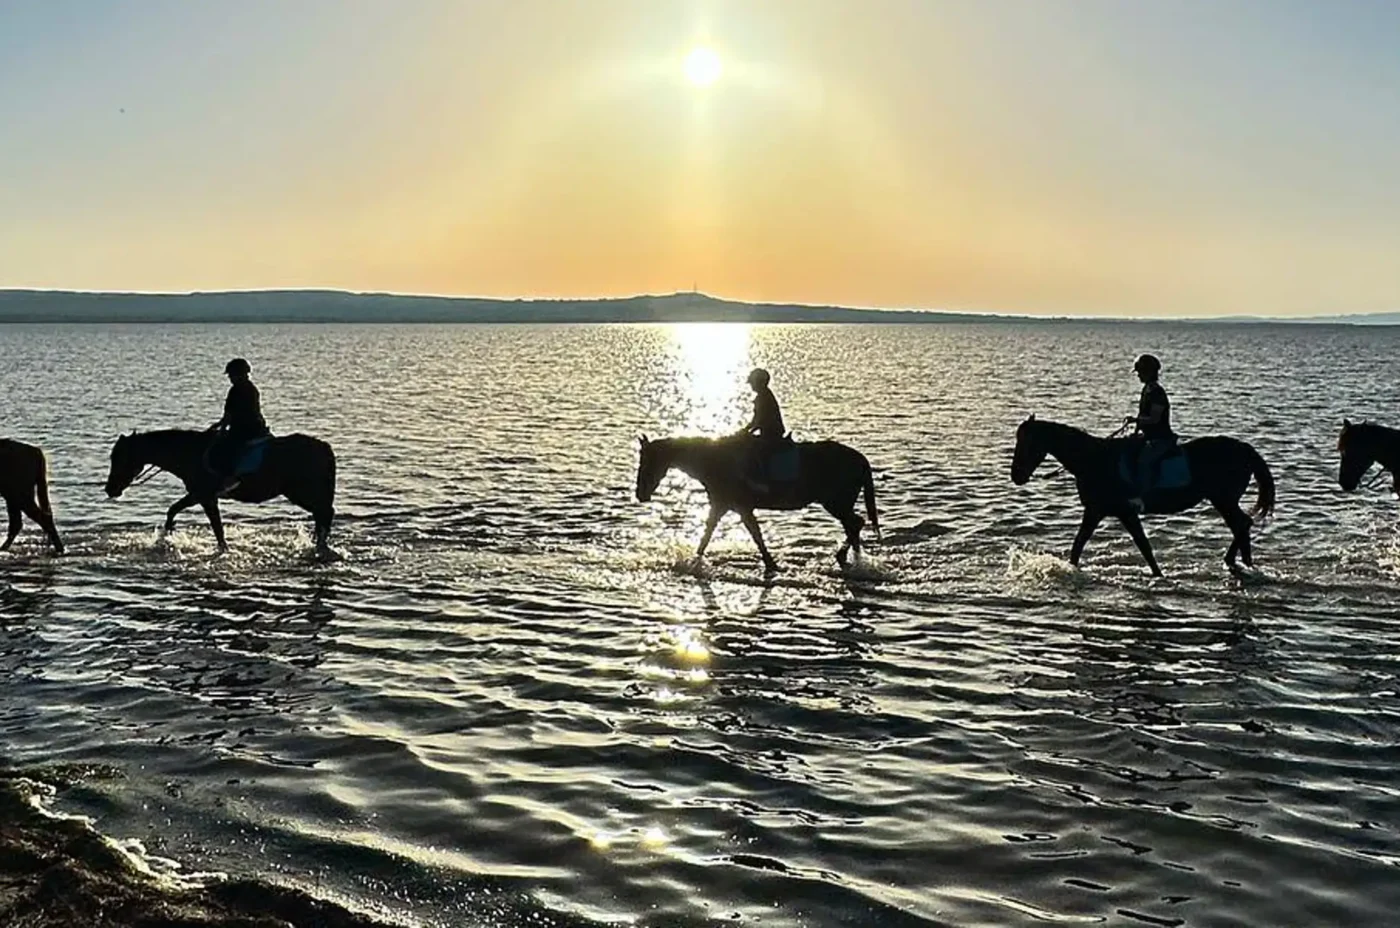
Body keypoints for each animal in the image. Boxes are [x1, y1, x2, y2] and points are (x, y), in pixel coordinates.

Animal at [104, 429, 337, 558]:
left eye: (119, 457)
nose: (110, 489)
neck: (188, 452)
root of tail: (324, 447)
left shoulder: (203, 496)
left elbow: (215, 528)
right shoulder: (202, 496)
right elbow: (174, 511)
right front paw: (167, 535)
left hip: (300, 492)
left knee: (324, 512)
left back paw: (320, 545)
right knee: (321, 514)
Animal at [635, 433, 879, 573]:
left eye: (646, 461)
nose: (640, 494)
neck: (715, 459)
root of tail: (860, 458)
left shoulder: (739, 507)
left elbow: (754, 535)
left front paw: (771, 564)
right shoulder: (723, 506)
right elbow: (709, 534)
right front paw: (694, 560)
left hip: (836, 503)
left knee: (855, 524)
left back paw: (846, 557)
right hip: (839, 504)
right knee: (853, 526)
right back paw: (855, 559)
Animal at [1010, 416, 1275, 576]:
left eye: (1027, 442)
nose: (1016, 476)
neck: (1094, 460)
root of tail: (1245, 449)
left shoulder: (1121, 511)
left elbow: (1143, 545)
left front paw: (1158, 575)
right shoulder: (1095, 510)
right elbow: (1079, 544)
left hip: (1223, 499)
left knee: (1242, 524)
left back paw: (1233, 562)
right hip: (1223, 500)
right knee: (1241, 526)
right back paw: (1242, 563)